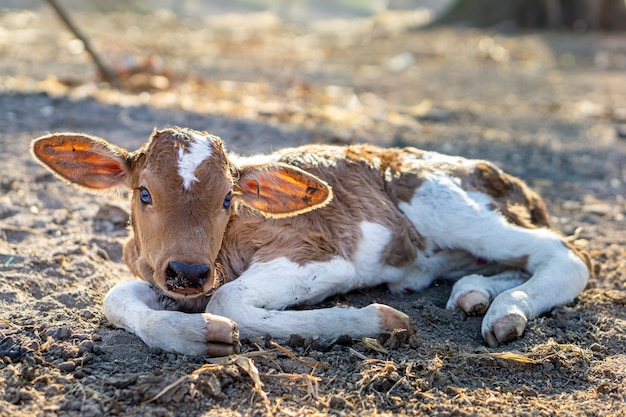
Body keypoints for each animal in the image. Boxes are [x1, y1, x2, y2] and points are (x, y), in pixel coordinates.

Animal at [31, 126, 588, 354]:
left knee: (565, 254)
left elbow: (229, 298)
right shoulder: (152, 269)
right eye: (143, 193)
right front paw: (197, 335)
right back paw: (474, 294)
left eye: (229, 197)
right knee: (515, 259)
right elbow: (115, 298)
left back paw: (506, 313)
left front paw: (372, 322)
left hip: (444, 202)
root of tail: (513, 181)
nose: (188, 273)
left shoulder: (320, 255)